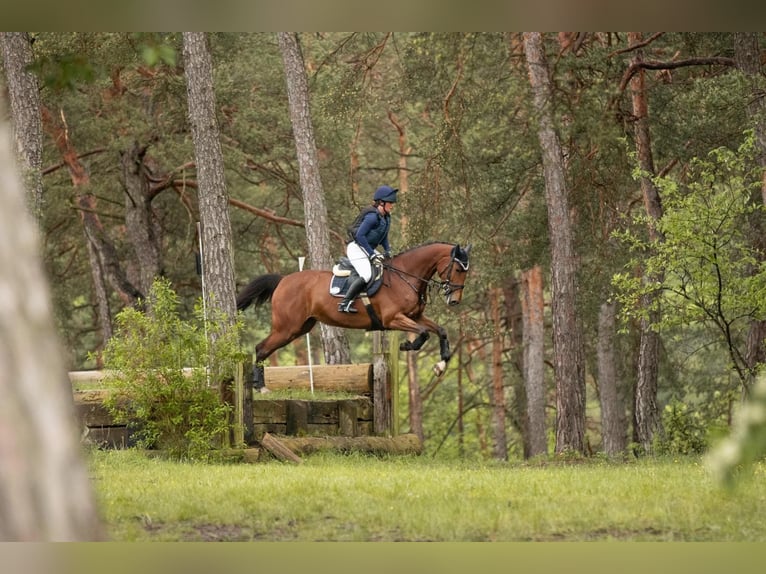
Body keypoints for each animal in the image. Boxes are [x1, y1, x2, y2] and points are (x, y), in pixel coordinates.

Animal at [236, 241, 472, 390]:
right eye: (458, 270)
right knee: (261, 348)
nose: (454, 300)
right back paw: (260, 387)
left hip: (300, 327)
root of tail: (283, 280)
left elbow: (440, 331)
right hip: (287, 328)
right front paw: (407, 346)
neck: (406, 277)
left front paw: (440, 366)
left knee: (264, 348)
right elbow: (423, 333)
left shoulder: (414, 316)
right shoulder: (393, 319)